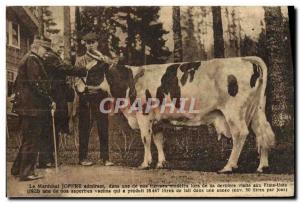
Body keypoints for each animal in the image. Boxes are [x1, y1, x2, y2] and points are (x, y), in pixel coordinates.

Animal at [99, 56, 276, 173]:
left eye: (94, 71)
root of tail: (245, 59)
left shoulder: (144, 114)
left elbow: (145, 139)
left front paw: (145, 163)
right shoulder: (156, 121)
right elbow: (158, 140)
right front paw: (161, 163)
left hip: (234, 111)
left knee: (240, 134)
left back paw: (228, 166)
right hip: (257, 110)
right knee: (262, 133)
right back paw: (262, 166)